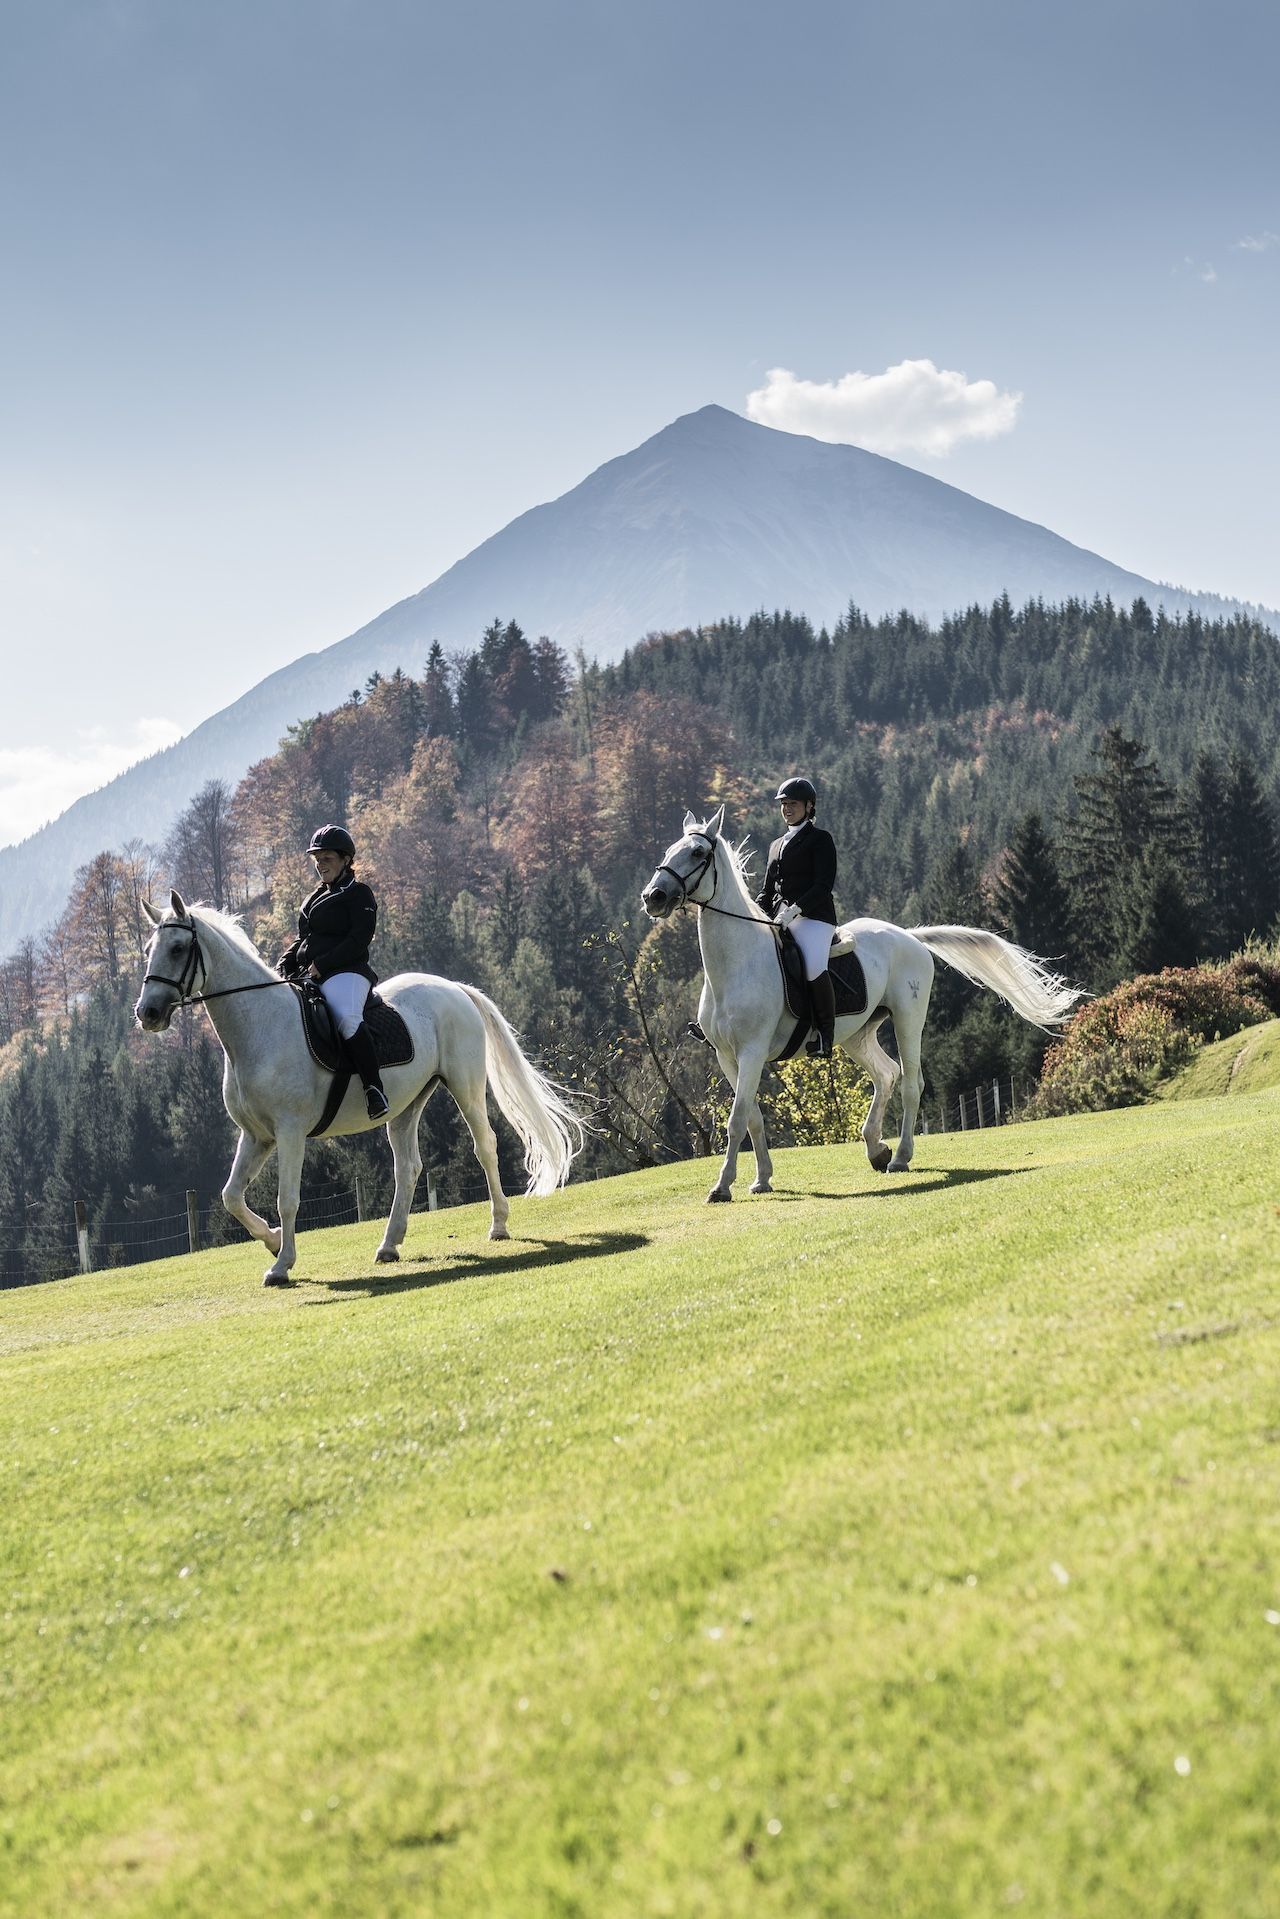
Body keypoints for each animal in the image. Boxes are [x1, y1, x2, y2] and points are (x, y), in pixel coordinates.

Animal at [134, 892, 584, 1284]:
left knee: (484, 1145)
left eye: (178, 948)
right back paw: (389, 1245)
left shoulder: (289, 1132)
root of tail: (454, 987)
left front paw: (282, 1265)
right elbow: (232, 1196)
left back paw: (498, 1226)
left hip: (466, 1087)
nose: (147, 1013)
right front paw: (274, 1242)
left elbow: (287, 1199)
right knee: (409, 1167)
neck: (260, 1027)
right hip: (407, 1104)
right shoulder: (257, 1135)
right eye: (148, 948)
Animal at [641, 808, 1081, 1203]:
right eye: (669, 849)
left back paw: (899, 1157)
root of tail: (909, 936)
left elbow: (735, 1121)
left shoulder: (751, 1052)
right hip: (858, 1033)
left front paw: (722, 1187)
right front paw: (762, 1179)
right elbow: (752, 1117)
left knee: (910, 1083)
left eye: (698, 852)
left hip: (907, 1020)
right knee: (885, 1075)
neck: (736, 964)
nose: (653, 897)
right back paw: (876, 1148)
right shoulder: (727, 1057)